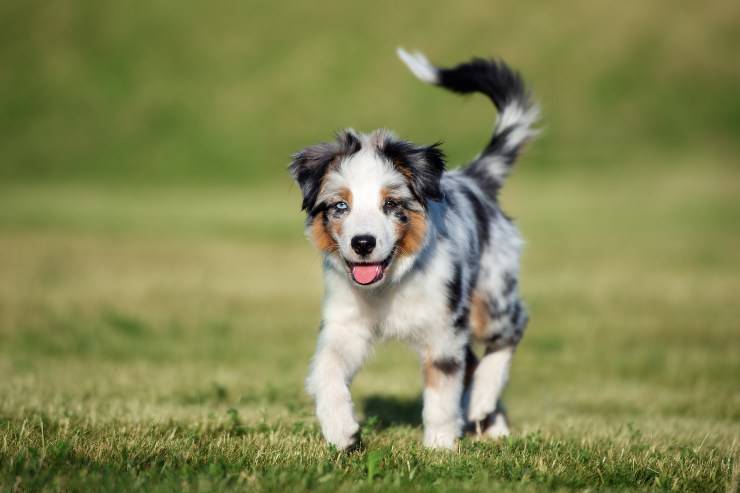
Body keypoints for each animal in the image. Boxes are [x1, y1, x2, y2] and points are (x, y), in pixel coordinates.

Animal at [288, 50, 536, 450]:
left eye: (391, 204)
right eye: (340, 206)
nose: (362, 243)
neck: (389, 285)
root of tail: (475, 178)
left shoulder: (442, 330)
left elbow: (441, 393)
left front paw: (440, 447)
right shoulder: (345, 323)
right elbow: (326, 369)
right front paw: (341, 430)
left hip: (490, 296)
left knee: (511, 330)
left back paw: (482, 399)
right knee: (473, 359)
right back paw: (491, 423)